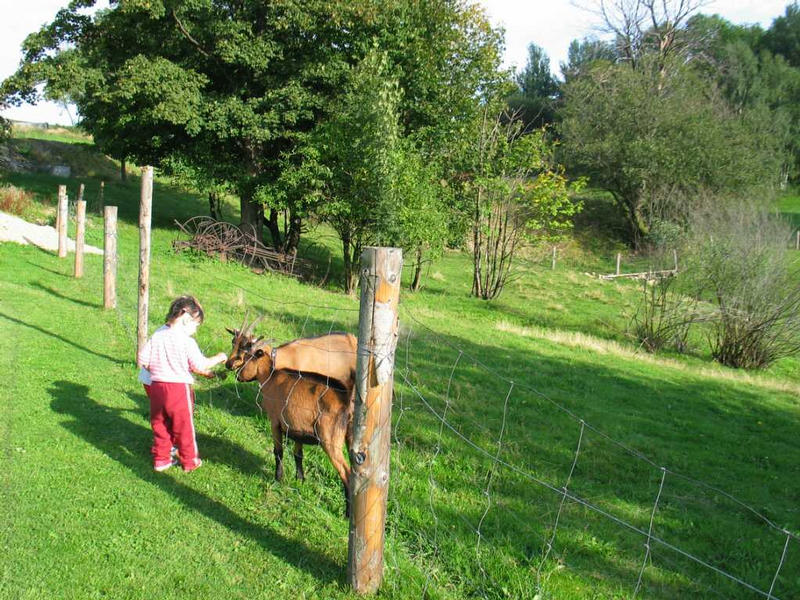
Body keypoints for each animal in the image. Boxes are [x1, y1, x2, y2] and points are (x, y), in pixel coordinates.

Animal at [223, 318, 352, 516]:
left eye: (248, 355)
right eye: (233, 343)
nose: (233, 369)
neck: (272, 375)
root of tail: (344, 400)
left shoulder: (275, 421)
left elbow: (278, 451)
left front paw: (279, 478)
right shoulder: (296, 425)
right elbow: (298, 454)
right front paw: (300, 479)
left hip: (330, 439)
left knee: (347, 472)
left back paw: (347, 513)